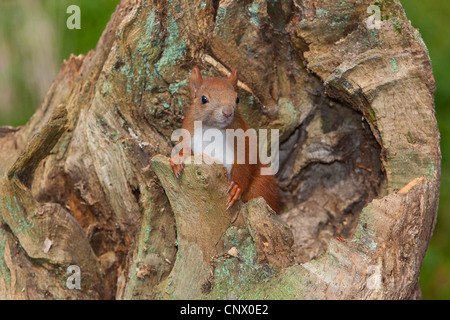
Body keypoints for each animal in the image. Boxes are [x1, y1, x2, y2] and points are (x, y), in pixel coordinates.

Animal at [171, 66, 280, 214]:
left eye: (237, 99)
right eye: (203, 99)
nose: (227, 112)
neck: (212, 128)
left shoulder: (243, 139)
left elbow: (244, 162)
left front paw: (236, 188)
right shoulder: (188, 132)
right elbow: (187, 151)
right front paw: (179, 158)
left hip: (262, 185)